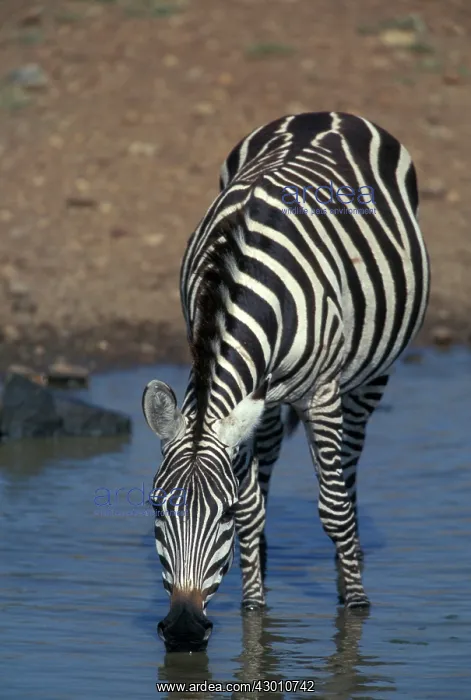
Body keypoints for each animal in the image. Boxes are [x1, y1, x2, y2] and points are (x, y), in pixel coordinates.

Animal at [142, 111, 430, 652]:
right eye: (157, 510)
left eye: (222, 515)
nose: (184, 630)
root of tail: (326, 114)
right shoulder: (243, 401)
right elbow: (254, 505)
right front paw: (254, 606)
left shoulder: (321, 395)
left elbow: (332, 508)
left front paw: (356, 606)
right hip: (268, 402)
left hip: (368, 378)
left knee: (349, 468)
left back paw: (348, 566)